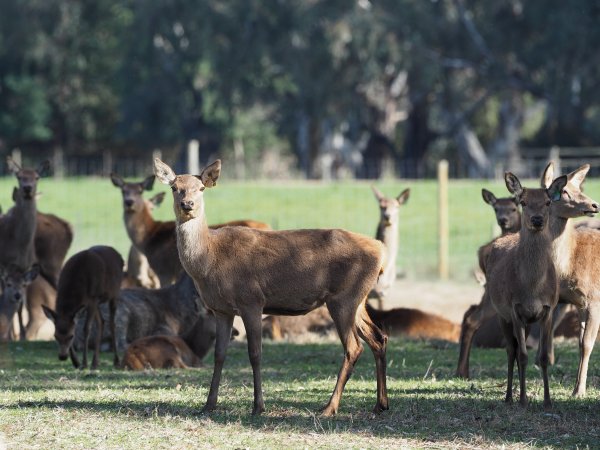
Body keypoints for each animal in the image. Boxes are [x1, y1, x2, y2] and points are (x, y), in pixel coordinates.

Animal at [111, 172, 270, 284]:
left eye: (140, 190)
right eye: (123, 190)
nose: (129, 202)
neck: (149, 239)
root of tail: (268, 226)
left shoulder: (164, 270)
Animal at [154, 157, 390, 414]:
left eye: (201, 188)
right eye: (174, 188)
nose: (187, 204)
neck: (211, 259)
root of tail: (381, 251)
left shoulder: (251, 300)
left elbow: (255, 353)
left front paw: (258, 406)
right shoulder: (221, 310)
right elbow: (219, 354)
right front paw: (209, 404)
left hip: (344, 297)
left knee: (354, 347)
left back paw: (330, 407)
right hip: (358, 299)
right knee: (379, 337)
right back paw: (381, 404)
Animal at [458, 162, 596, 384]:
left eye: (579, 189)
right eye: (564, 191)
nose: (594, 205)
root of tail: (483, 250)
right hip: (493, 297)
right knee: (473, 319)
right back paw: (462, 372)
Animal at [488, 171, 568, 408]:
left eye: (548, 202)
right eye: (522, 202)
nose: (537, 220)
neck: (532, 289)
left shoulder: (548, 309)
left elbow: (543, 357)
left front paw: (548, 401)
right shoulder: (515, 309)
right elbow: (522, 355)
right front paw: (523, 400)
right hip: (500, 313)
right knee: (511, 351)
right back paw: (508, 396)